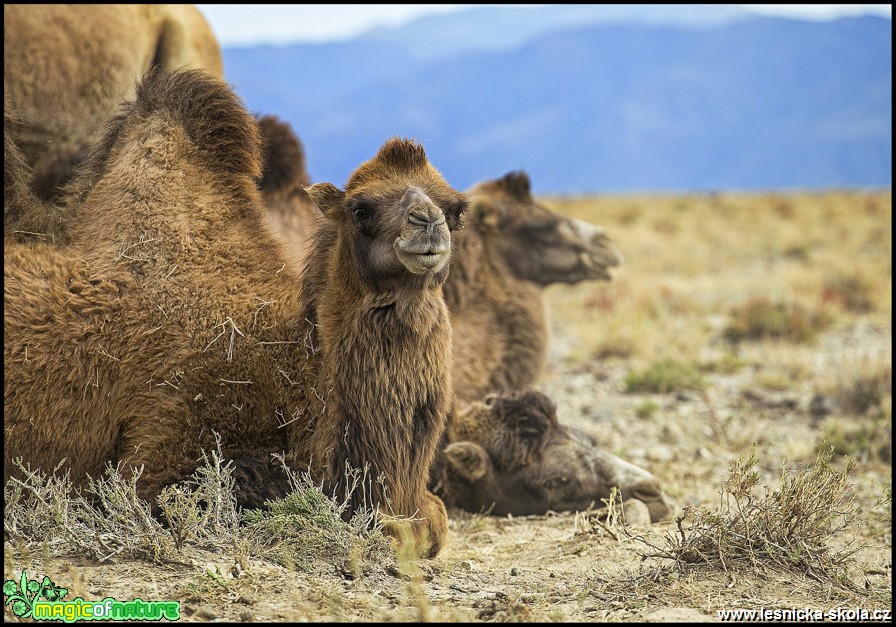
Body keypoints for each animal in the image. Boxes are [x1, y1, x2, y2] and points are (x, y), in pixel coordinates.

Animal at [5, 68, 468, 560]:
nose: (428, 223)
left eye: (456, 210)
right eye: (360, 209)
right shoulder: (168, 444)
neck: (302, 375)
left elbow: (434, 521)